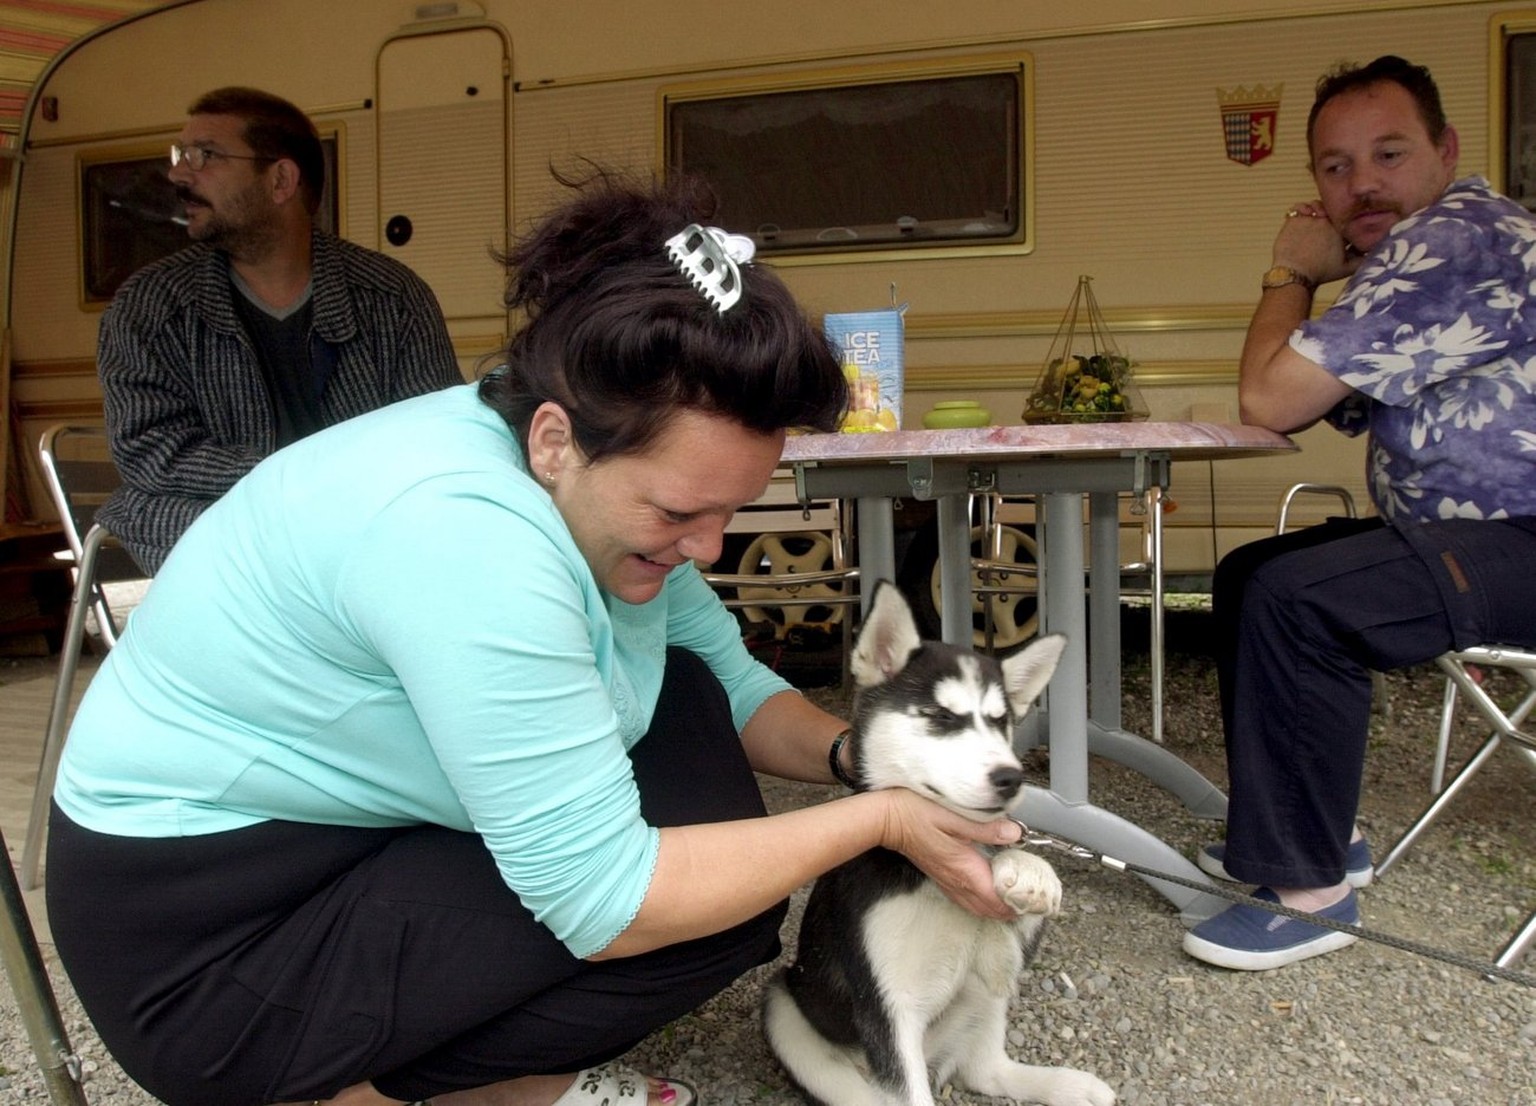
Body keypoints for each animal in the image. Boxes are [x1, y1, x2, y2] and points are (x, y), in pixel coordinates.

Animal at [764, 583, 1118, 1099]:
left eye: (1000, 722)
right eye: (939, 715)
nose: (1011, 778)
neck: (923, 876)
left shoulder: (1008, 947)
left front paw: (1027, 869)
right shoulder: (886, 1005)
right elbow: (908, 1093)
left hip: (985, 990)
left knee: (985, 1069)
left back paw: (1064, 1085)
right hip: (784, 1006)